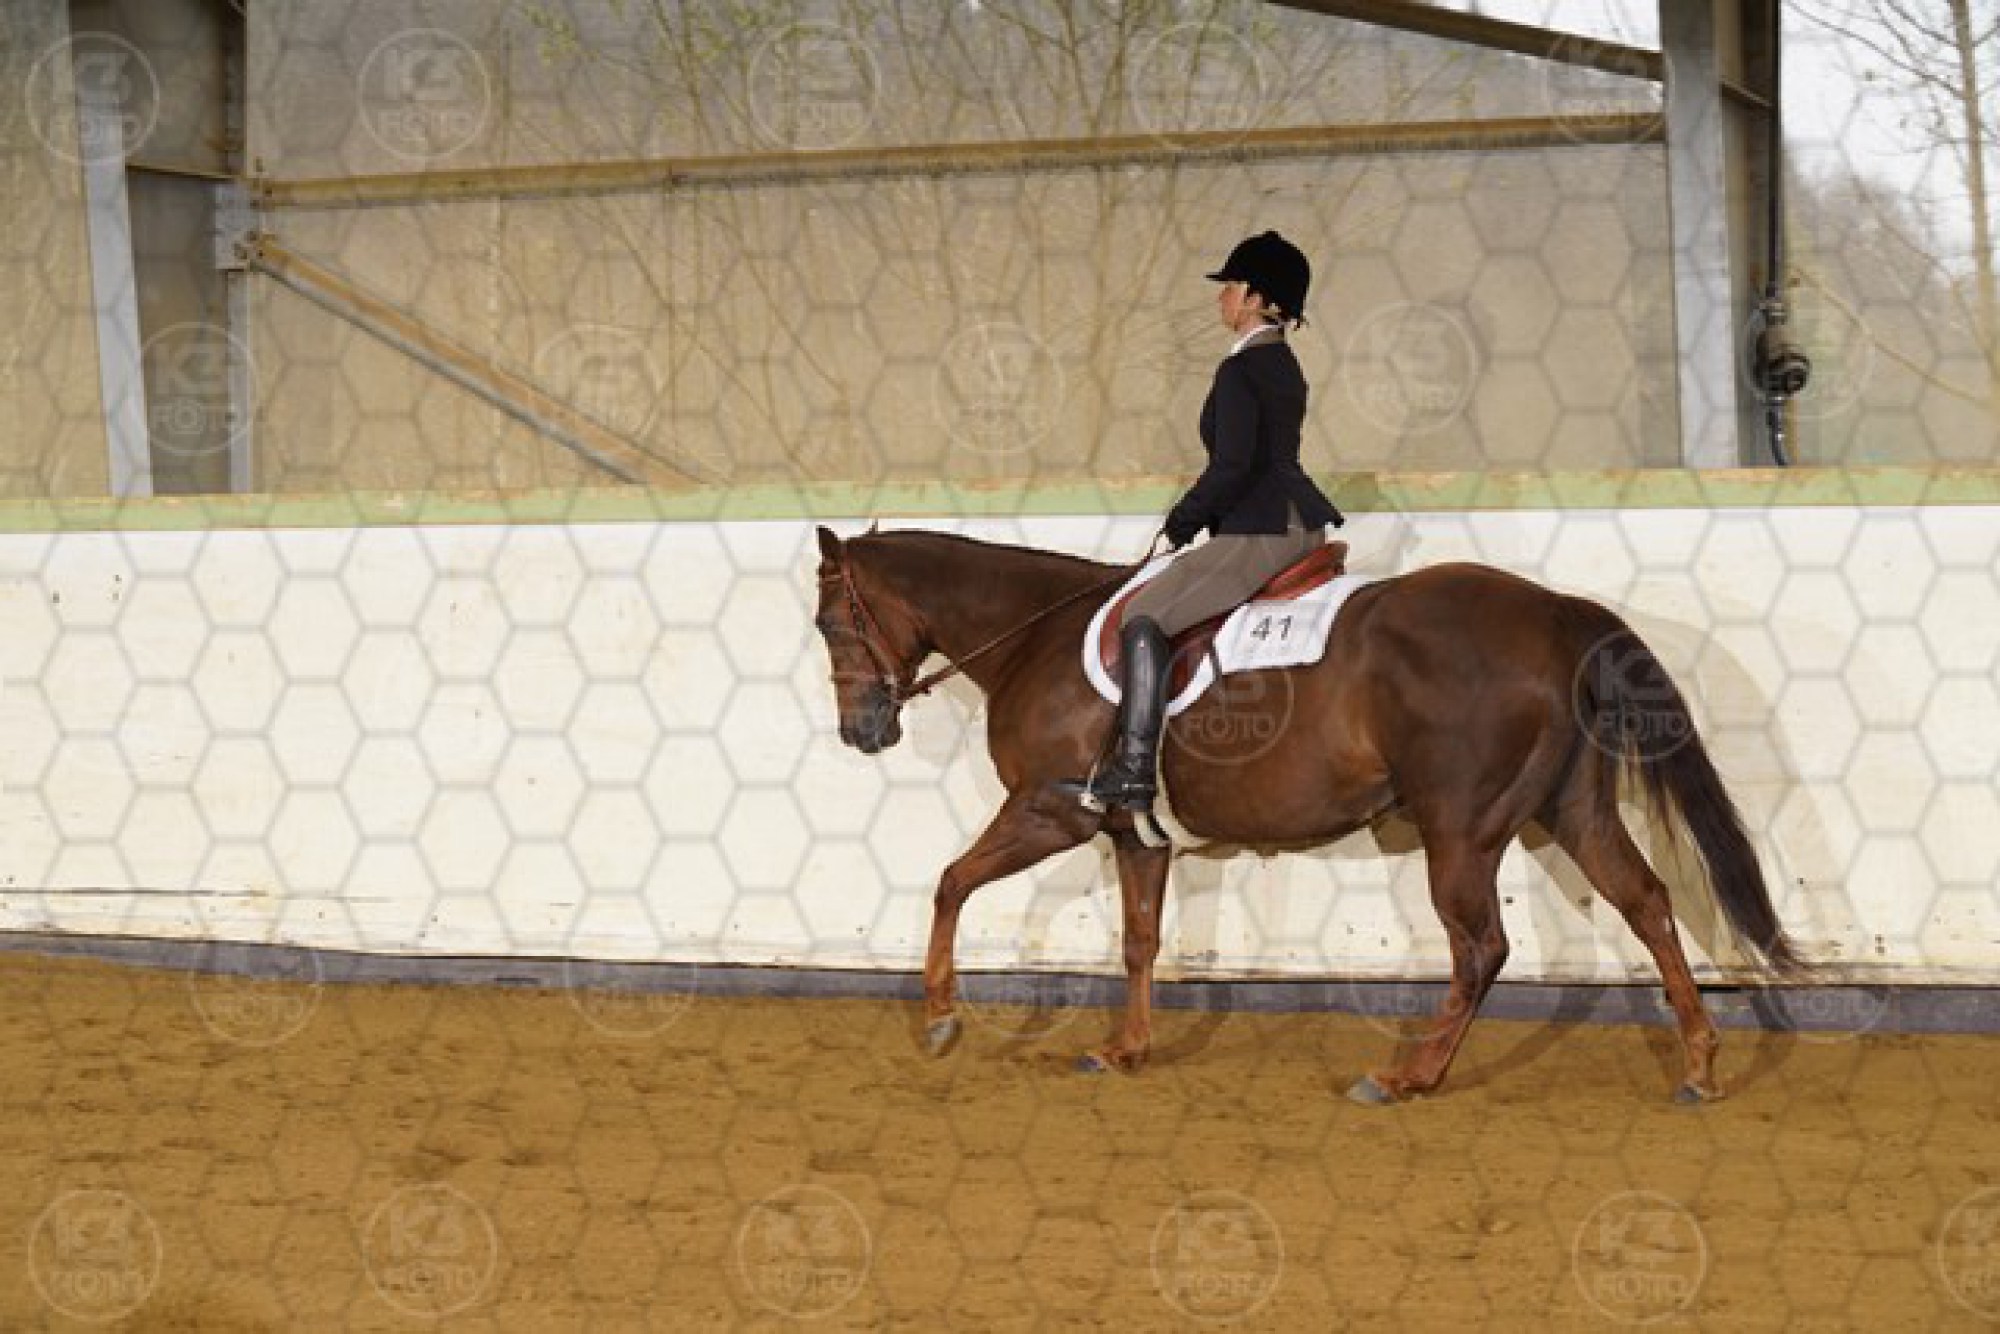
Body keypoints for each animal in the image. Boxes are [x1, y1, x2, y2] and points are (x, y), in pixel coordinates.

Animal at [810, 524, 1802, 1104]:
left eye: (829, 621)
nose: (862, 732)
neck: (1034, 635)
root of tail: (1556, 614)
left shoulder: (1052, 813)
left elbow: (950, 884)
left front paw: (941, 1018)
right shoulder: (1135, 835)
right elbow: (1139, 941)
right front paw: (1126, 1050)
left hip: (1463, 829)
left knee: (1483, 947)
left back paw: (1408, 1075)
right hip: (1573, 808)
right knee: (1647, 904)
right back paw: (1699, 1064)